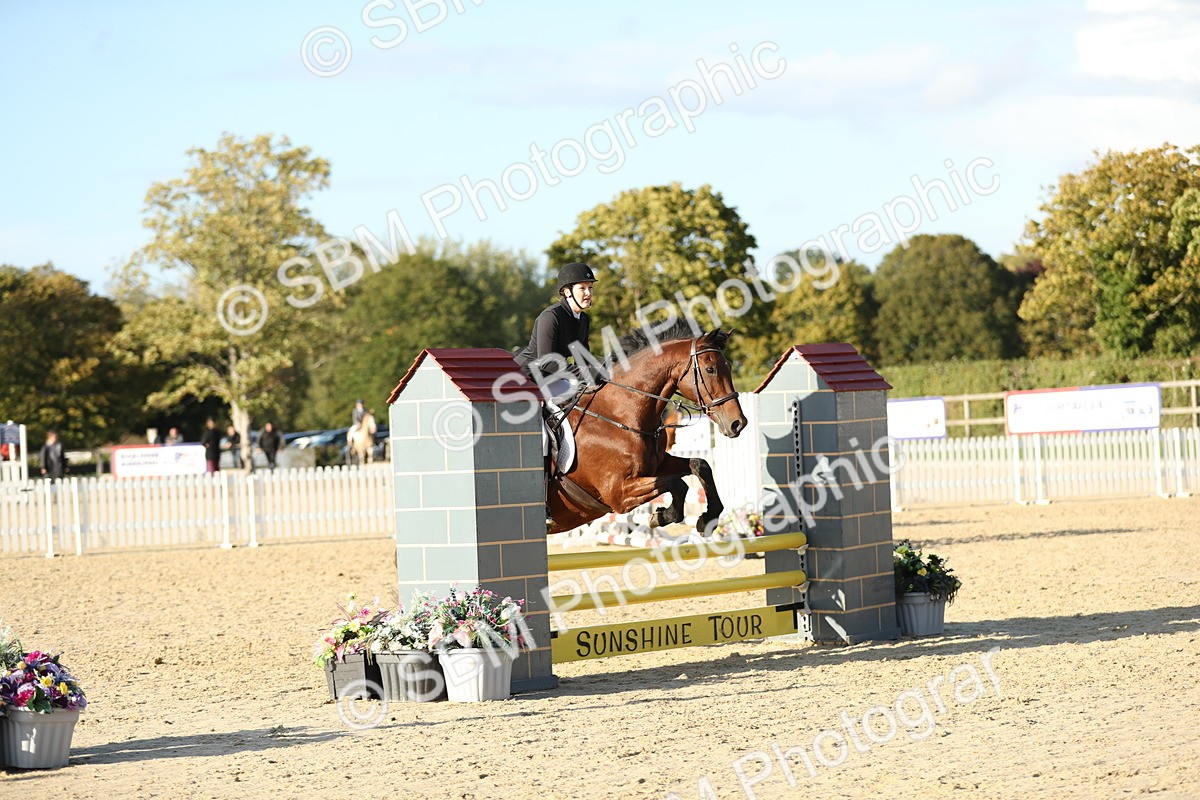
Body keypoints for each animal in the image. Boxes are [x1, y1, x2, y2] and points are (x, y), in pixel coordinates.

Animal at [546, 324, 747, 535]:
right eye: (710, 369)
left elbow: (701, 465)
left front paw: (708, 518)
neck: (619, 414)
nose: (738, 423)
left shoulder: (658, 465)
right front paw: (661, 517)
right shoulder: (619, 493)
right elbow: (677, 483)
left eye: (729, 366)